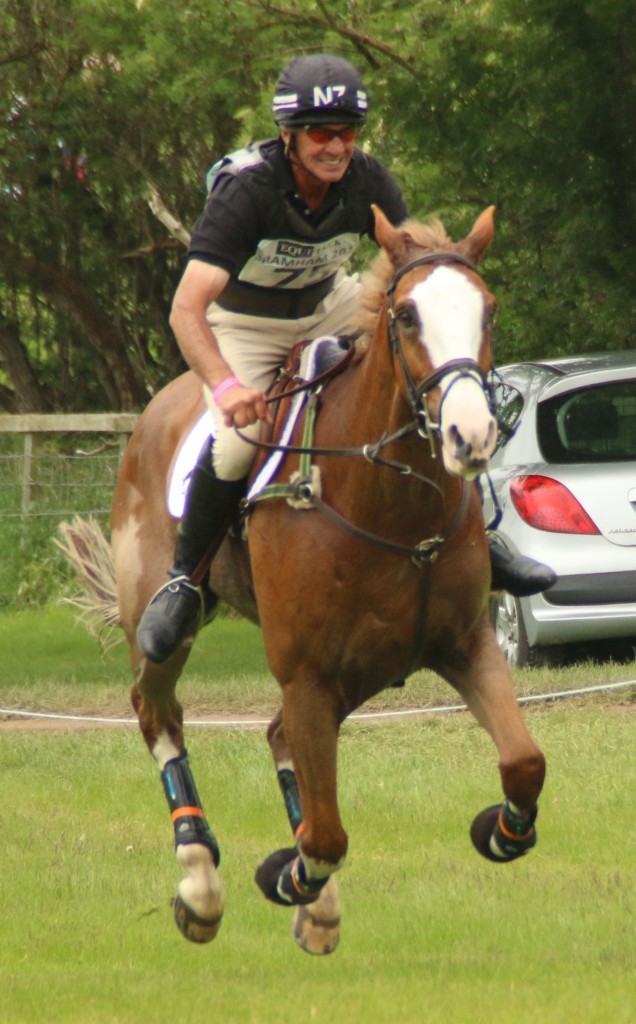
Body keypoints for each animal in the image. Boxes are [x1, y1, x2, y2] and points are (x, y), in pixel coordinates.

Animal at [60, 203, 544, 954]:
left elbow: (523, 763)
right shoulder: (308, 674)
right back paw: (201, 883)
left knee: (278, 737)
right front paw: (286, 876)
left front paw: (499, 831)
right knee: (159, 711)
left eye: (486, 311)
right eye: (406, 315)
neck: (389, 501)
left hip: (359, 671)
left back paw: (313, 906)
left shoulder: (464, 645)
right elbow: (325, 836)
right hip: (173, 630)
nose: (470, 436)